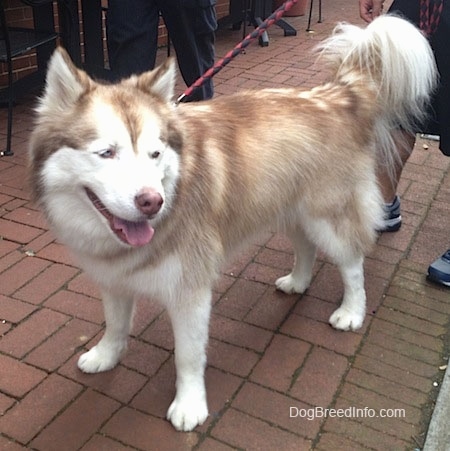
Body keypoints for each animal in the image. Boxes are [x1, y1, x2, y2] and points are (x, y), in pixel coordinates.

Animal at [28, 15, 436, 430]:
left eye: (155, 154)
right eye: (106, 153)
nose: (152, 202)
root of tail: (336, 95)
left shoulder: (190, 290)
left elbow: (187, 355)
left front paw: (189, 405)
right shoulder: (113, 279)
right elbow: (115, 324)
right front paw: (105, 356)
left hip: (327, 217)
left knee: (352, 263)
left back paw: (351, 312)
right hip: (288, 209)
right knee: (305, 247)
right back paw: (298, 282)